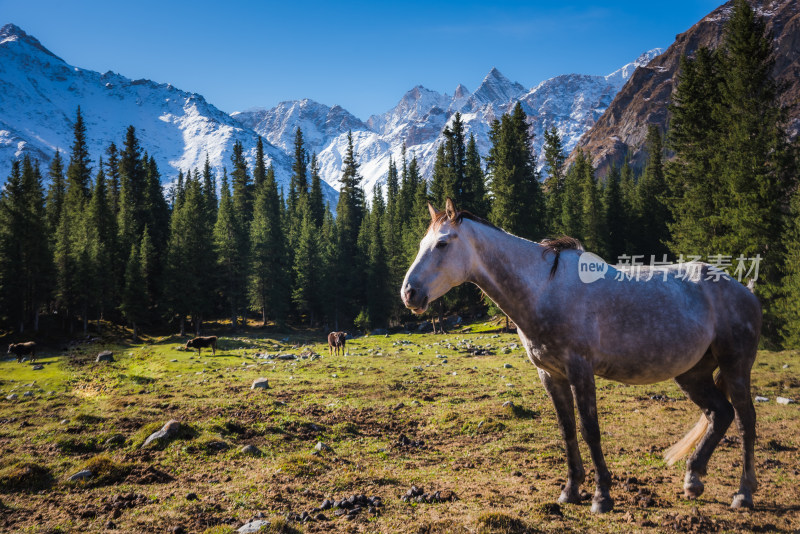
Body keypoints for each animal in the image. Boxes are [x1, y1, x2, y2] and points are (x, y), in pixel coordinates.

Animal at [404, 200, 760, 516]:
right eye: (422, 243)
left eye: (442, 243)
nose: (409, 293)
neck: (544, 290)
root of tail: (743, 289)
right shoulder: (551, 375)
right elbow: (567, 431)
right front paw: (570, 490)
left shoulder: (580, 370)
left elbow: (590, 430)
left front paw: (602, 497)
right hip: (693, 373)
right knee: (720, 414)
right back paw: (693, 480)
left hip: (735, 365)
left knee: (745, 421)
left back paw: (743, 494)